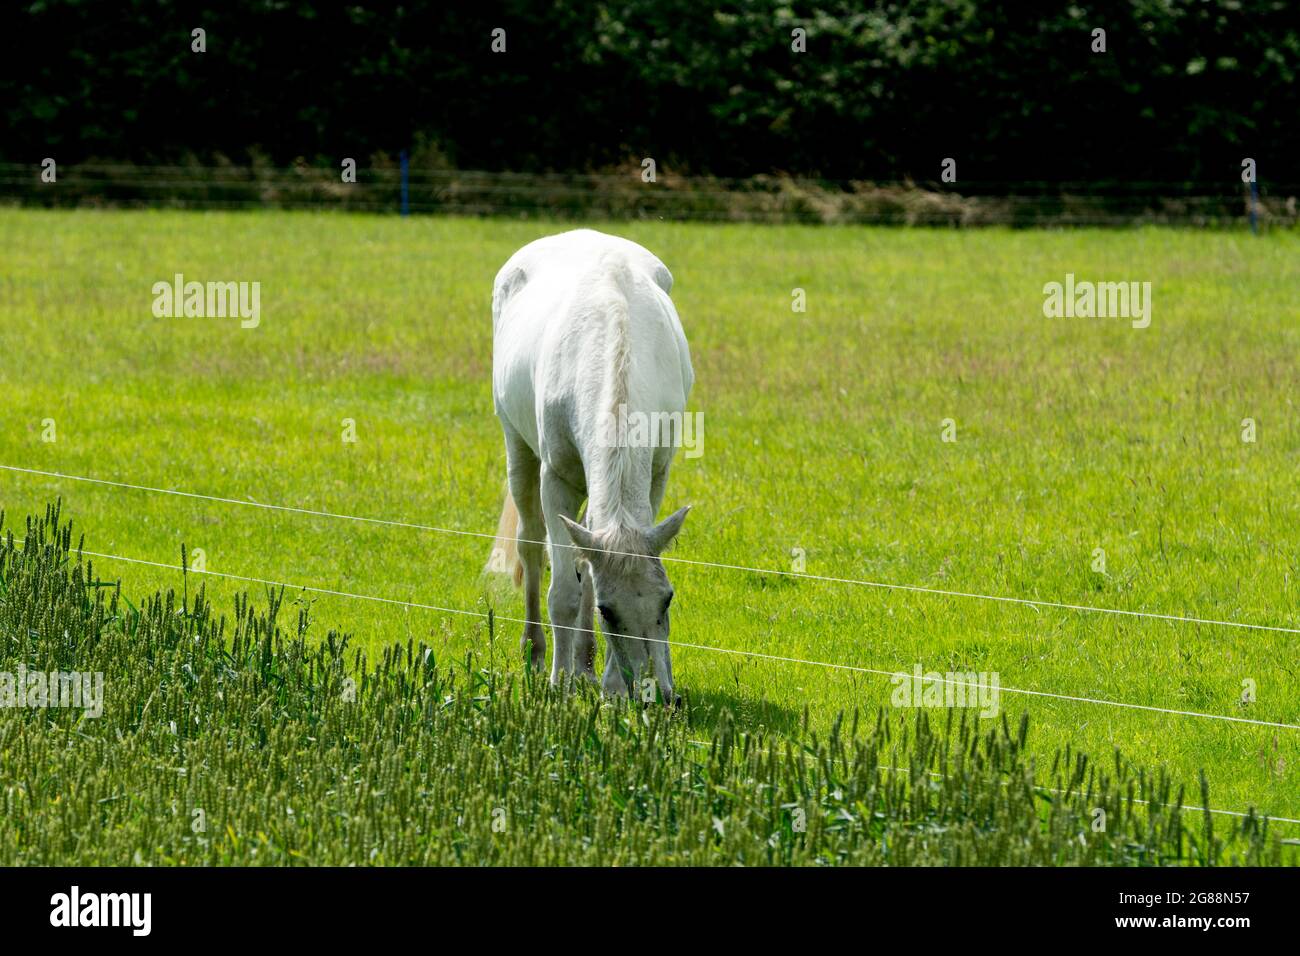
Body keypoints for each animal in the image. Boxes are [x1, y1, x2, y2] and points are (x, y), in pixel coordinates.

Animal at [488, 227, 691, 697]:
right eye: (607, 610)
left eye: (668, 599)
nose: (658, 696)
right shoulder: (556, 480)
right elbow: (563, 591)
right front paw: (558, 684)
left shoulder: (655, 477)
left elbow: (587, 570)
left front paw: (610, 687)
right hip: (517, 448)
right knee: (531, 546)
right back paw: (537, 653)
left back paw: (584, 664)